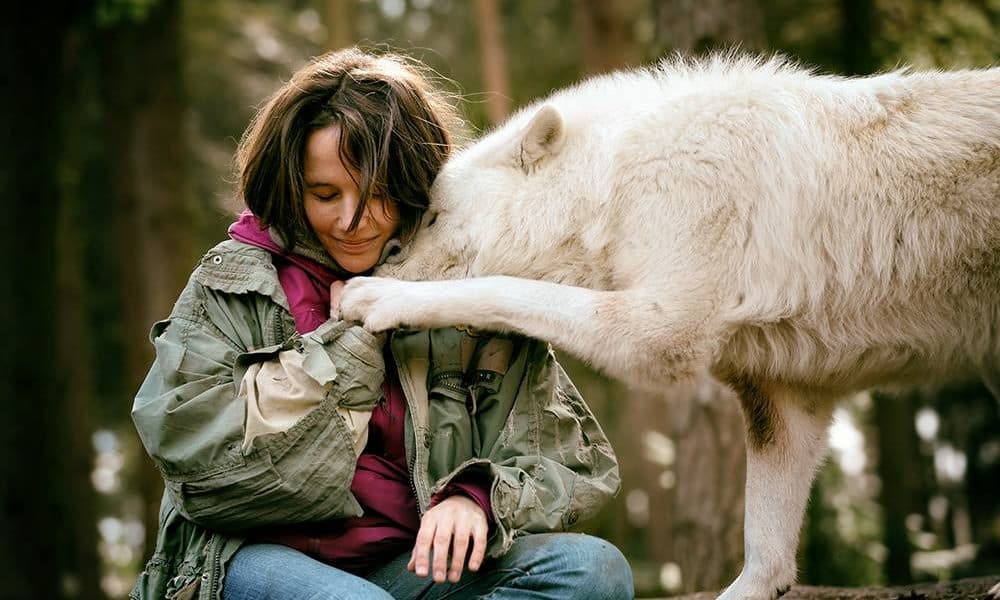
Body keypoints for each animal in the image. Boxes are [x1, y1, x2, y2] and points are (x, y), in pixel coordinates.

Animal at [338, 56, 1000, 600]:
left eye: (433, 217)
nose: (384, 256)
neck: (617, 187)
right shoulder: (788, 395)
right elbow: (767, 547)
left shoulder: (662, 327)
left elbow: (506, 290)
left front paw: (377, 297)